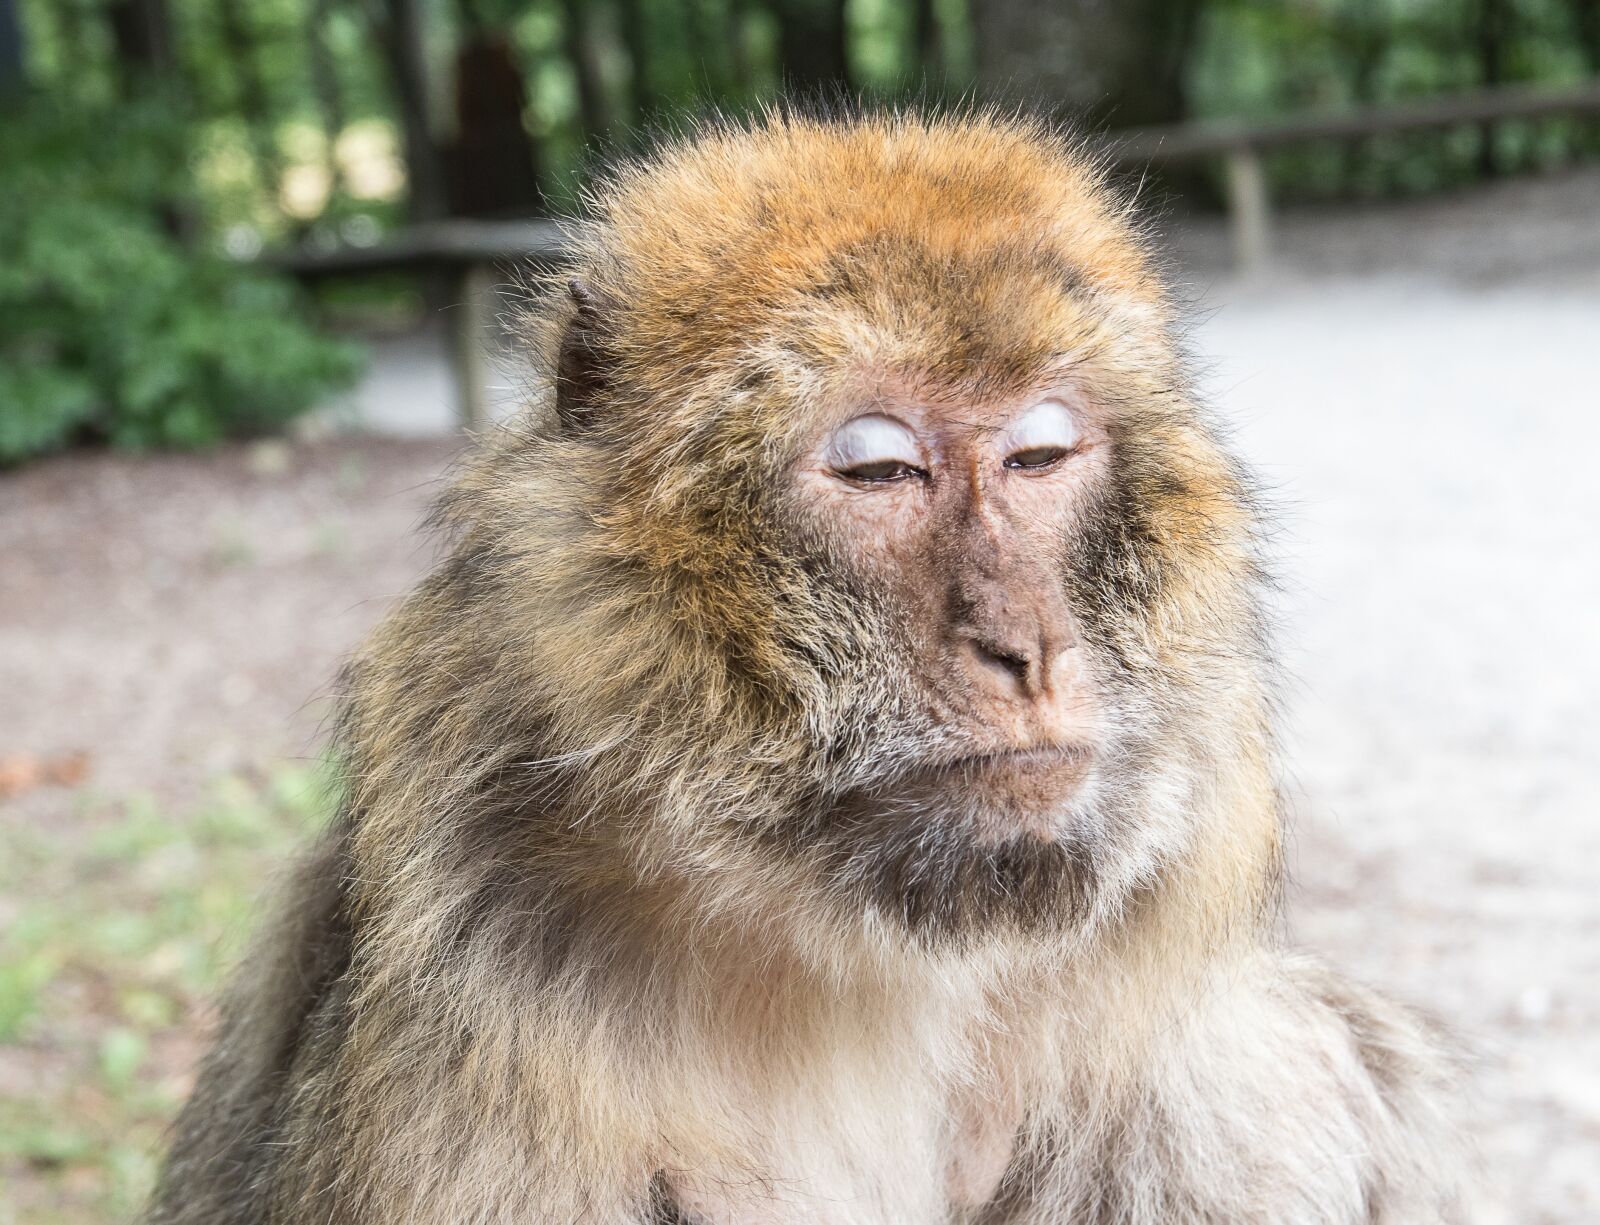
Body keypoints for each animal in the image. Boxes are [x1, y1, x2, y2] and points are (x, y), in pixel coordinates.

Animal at [146, 110, 1463, 1225]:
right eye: (880, 470)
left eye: (1040, 453)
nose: (1026, 647)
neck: (873, 954)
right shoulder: (472, 1040)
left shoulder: (1229, 1067)